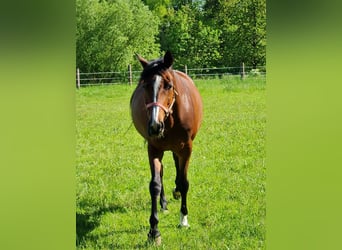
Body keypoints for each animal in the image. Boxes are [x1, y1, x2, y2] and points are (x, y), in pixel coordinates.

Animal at [130, 50, 202, 244]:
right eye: (145, 86)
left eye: (169, 85)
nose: (155, 126)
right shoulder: (154, 149)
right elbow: (155, 184)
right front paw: (154, 231)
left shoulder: (186, 148)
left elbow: (184, 182)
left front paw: (184, 219)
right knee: (161, 173)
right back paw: (163, 204)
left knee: (177, 166)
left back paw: (176, 193)